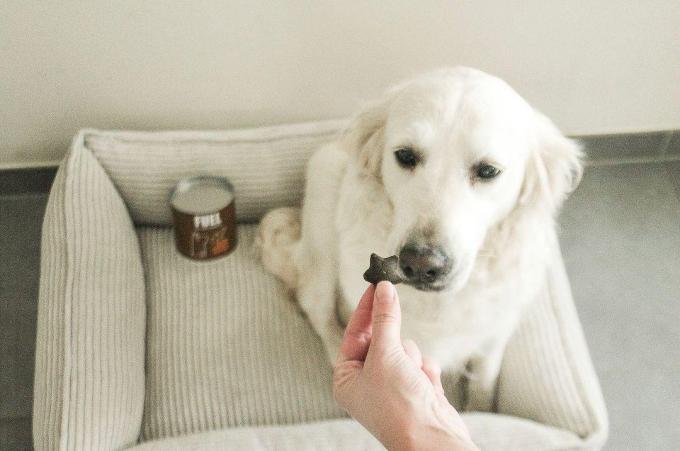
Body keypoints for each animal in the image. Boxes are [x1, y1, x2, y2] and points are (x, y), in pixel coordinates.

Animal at [254, 67, 580, 410]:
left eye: (489, 170)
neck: (437, 305)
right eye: (405, 155)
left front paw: (478, 410)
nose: (421, 265)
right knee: (315, 306)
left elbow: (484, 382)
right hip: (325, 204)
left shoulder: (493, 334)